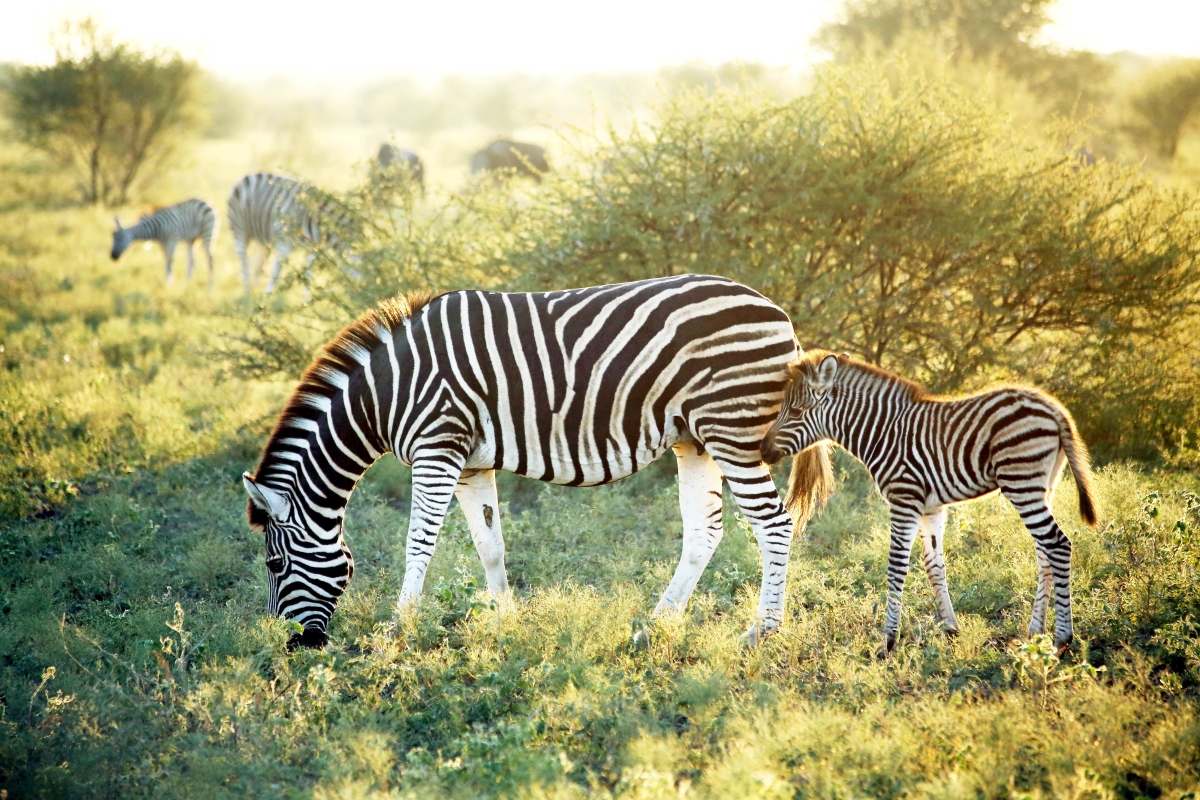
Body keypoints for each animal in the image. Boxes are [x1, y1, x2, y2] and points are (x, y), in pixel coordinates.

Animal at [238, 275, 830, 652]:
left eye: (274, 564)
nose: (295, 648)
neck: (385, 394)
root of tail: (779, 314)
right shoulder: (470, 462)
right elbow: (490, 545)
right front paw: (507, 622)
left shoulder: (437, 446)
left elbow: (418, 542)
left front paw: (396, 631)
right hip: (696, 438)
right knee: (704, 531)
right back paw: (655, 628)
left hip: (731, 430)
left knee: (774, 524)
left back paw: (762, 632)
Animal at [758, 350, 1099, 657]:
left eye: (797, 411)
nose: (761, 451)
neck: (882, 433)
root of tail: (1054, 408)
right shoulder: (930, 507)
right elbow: (935, 565)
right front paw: (950, 630)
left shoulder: (904, 499)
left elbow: (896, 566)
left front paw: (888, 643)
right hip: (1043, 486)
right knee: (1044, 552)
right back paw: (1035, 634)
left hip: (1021, 481)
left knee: (1057, 544)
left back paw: (1062, 639)